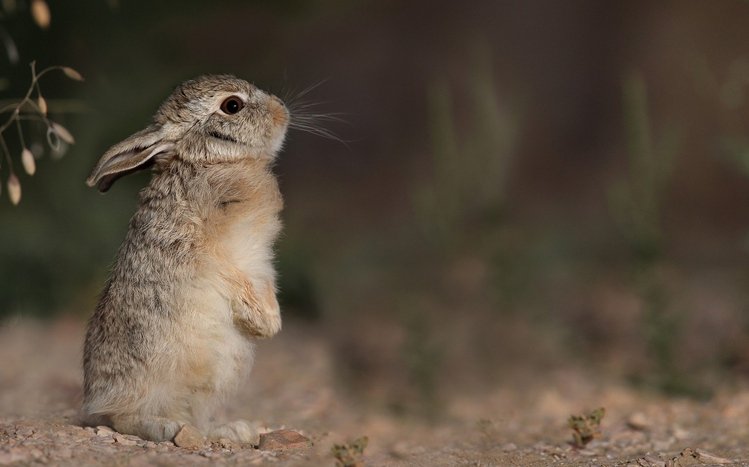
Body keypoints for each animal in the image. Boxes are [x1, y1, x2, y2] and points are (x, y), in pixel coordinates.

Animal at [82, 74, 289, 444]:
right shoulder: (208, 252)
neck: (212, 162)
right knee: (122, 418)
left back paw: (232, 430)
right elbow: (230, 276)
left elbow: (263, 284)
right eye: (232, 105)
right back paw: (164, 427)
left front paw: (269, 324)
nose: (282, 110)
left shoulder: (260, 264)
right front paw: (264, 323)